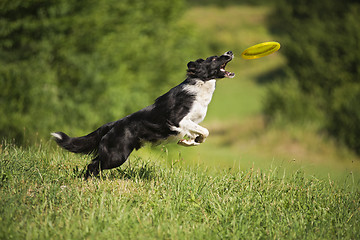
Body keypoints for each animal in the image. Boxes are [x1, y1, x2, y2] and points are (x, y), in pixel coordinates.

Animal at [52, 51, 235, 178]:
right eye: (214, 59)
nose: (230, 52)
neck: (200, 83)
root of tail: (112, 124)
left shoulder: (192, 122)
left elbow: (200, 134)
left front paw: (189, 142)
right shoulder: (178, 120)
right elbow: (205, 130)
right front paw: (191, 140)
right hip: (117, 155)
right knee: (93, 164)